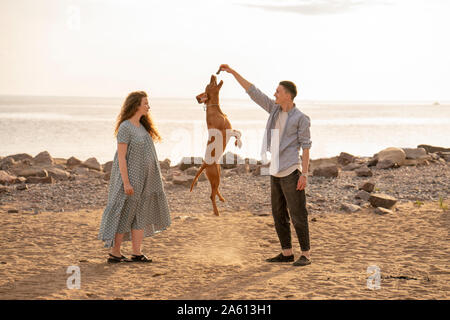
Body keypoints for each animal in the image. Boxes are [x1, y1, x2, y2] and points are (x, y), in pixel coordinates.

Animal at [190, 74, 243, 216]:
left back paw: (221, 198)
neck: (216, 110)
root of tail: (204, 163)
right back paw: (216, 211)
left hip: (217, 175)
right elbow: (238, 132)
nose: (213, 74)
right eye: (209, 84)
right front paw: (239, 142)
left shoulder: (230, 129)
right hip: (215, 176)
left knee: (216, 190)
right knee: (211, 195)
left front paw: (238, 141)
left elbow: (238, 132)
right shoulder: (226, 131)